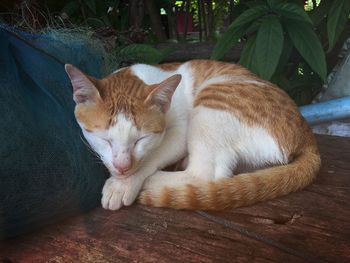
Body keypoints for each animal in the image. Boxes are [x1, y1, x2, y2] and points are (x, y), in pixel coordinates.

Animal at [65, 60, 320, 212]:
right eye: (104, 139)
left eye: (141, 140)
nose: (123, 167)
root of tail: (307, 136)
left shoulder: (180, 132)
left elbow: (152, 156)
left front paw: (123, 183)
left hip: (212, 98)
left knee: (205, 174)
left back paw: (155, 182)